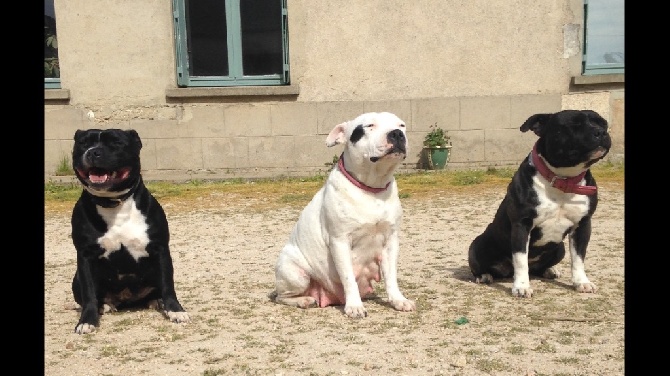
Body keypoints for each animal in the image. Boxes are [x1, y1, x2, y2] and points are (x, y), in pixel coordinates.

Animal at [70, 128, 190, 334]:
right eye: (83, 143)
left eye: (116, 143)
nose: (93, 152)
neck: (114, 203)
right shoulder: (85, 256)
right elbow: (89, 293)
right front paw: (87, 321)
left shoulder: (160, 250)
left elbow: (168, 284)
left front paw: (175, 310)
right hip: (76, 278)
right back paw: (104, 305)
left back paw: (157, 301)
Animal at [272, 111, 418, 318]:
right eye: (369, 126)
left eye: (401, 125)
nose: (397, 133)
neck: (371, 189)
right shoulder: (340, 242)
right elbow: (348, 278)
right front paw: (354, 306)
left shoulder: (390, 241)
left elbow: (391, 277)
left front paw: (398, 300)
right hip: (295, 273)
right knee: (281, 296)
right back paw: (303, 300)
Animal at [470, 110, 612, 298]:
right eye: (574, 125)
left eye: (603, 123)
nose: (601, 132)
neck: (563, 180)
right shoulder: (521, 225)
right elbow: (520, 259)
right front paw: (522, 286)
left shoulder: (582, 225)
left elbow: (578, 258)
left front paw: (582, 282)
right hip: (477, 245)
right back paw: (484, 276)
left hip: (560, 249)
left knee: (539, 267)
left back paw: (550, 270)